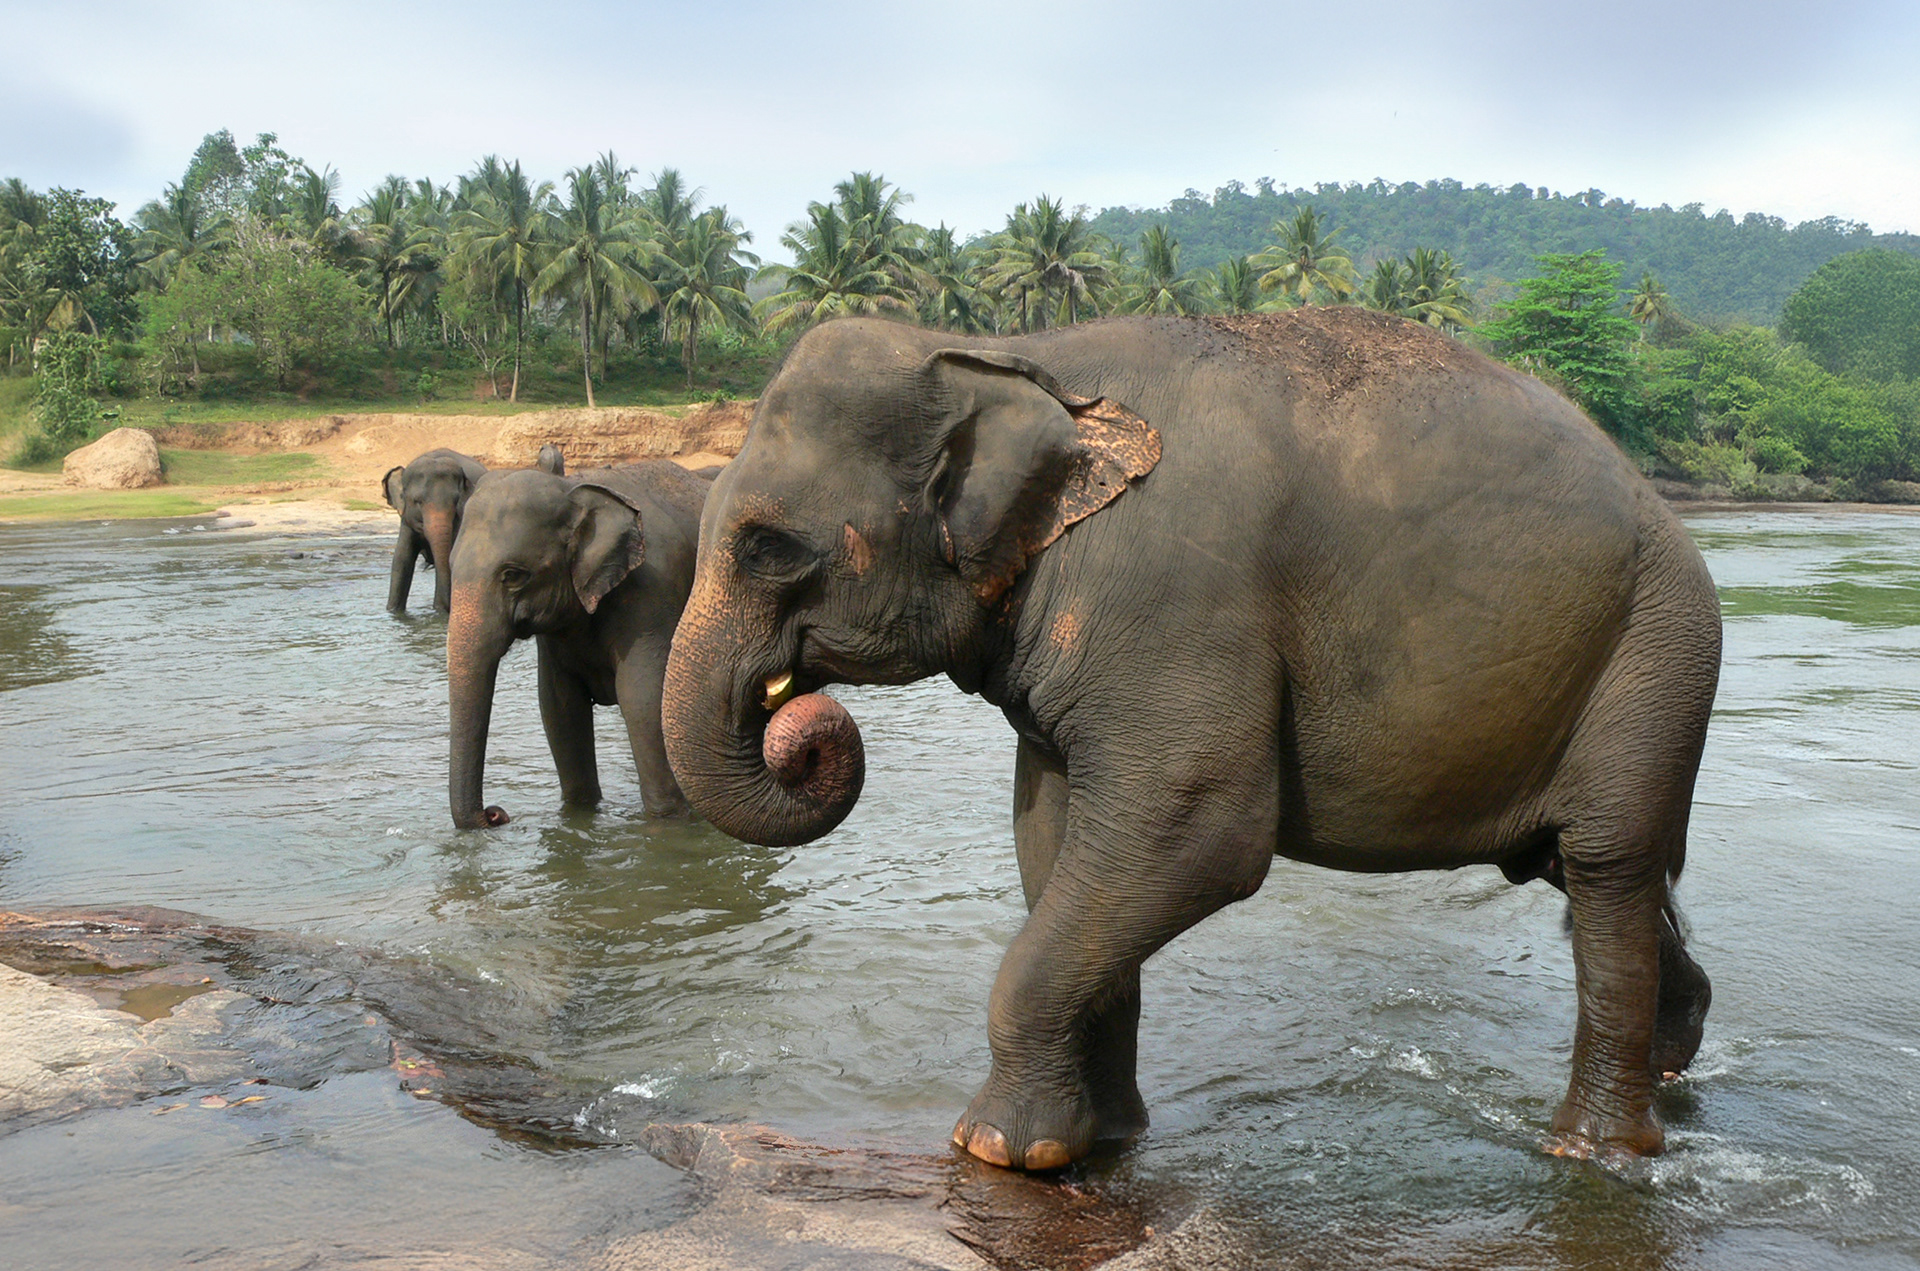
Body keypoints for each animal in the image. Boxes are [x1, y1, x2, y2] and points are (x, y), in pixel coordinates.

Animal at [384, 446, 564, 614]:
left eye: (456, 501)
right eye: (417, 501)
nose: (443, 608)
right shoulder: (406, 521)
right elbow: (402, 561)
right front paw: (393, 611)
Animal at [447, 459, 710, 829]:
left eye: (513, 575)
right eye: (450, 567)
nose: (495, 814)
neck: (572, 488)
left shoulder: (654, 592)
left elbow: (643, 700)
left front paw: (671, 824)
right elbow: (559, 707)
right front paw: (578, 816)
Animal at [660, 309, 1721, 1171]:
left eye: (767, 546)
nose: (803, 734)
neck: (1009, 351)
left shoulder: (1174, 596)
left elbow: (1196, 830)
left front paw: (995, 1149)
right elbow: (1058, 840)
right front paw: (1097, 1139)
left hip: (1657, 653)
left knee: (1608, 862)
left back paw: (1596, 1151)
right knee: (1568, 864)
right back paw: (1676, 1057)